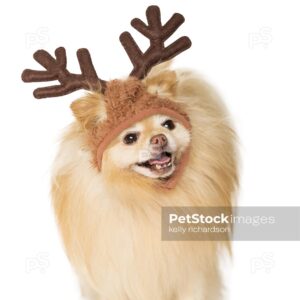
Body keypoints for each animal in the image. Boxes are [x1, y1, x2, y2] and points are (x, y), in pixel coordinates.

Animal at [51, 62, 239, 298]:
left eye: (168, 124)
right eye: (130, 138)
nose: (160, 138)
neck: (147, 196)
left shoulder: (192, 276)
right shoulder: (116, 280)